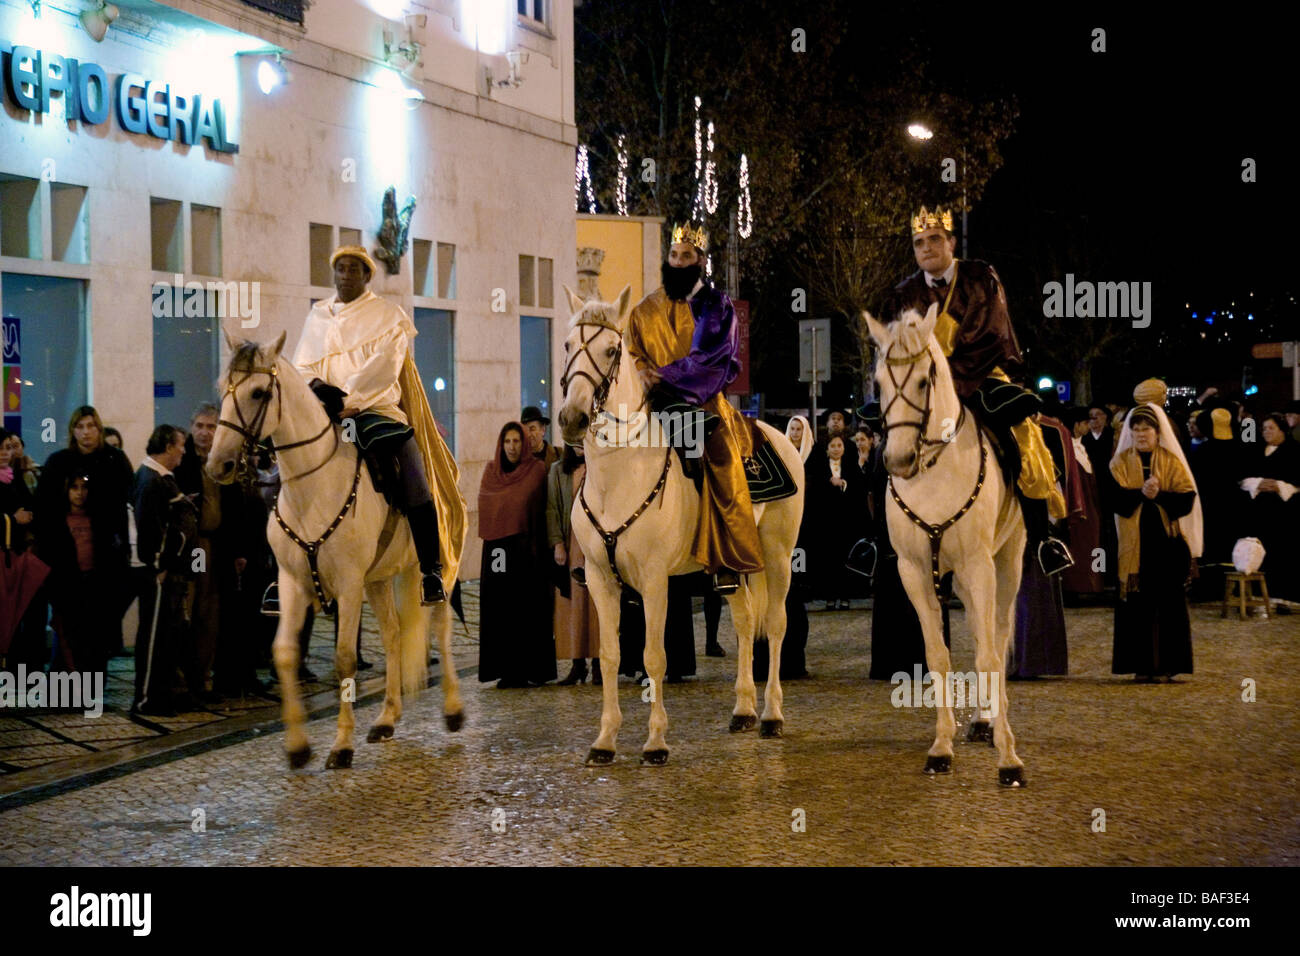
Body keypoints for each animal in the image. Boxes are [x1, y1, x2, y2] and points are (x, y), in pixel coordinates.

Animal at [205, 332, 465, 764]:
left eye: (259, 392)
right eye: (224, 389)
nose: (218, 466)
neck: (312, 488)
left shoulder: (348, 585)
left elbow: (345, 658)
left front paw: (341, 745)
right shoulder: (293, 583)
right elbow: (284, 653)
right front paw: (298, 746)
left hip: (437, 564)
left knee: (440, 626)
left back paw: (453, 709)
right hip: (378, 579)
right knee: (393, 634)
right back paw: (386, 719)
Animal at [556, 283, 800, 764]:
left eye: (612, 350)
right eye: (569, 345)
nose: (573, 418)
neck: (617, 475)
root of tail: (782, 437)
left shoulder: (653, 581)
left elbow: (653, 656)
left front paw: (655, 741)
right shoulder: (599, 579)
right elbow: (610, 655)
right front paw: (605, 740)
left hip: (778, 557)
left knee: (777, 625)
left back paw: (772, 715)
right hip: (731, 567)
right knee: (746, 621)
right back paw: (743, 709)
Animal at [863, 304, 1024, 785]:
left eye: (922, 381)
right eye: (878, 384)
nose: (898, 460)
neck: (934, 469)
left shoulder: (980, 565)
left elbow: (990, 655)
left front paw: (1009, 758)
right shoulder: (914, 571)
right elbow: (937, 655)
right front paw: (941, 746)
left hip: (1006, 564)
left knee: (997, 637)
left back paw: (994, 724)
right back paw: (982, 721)